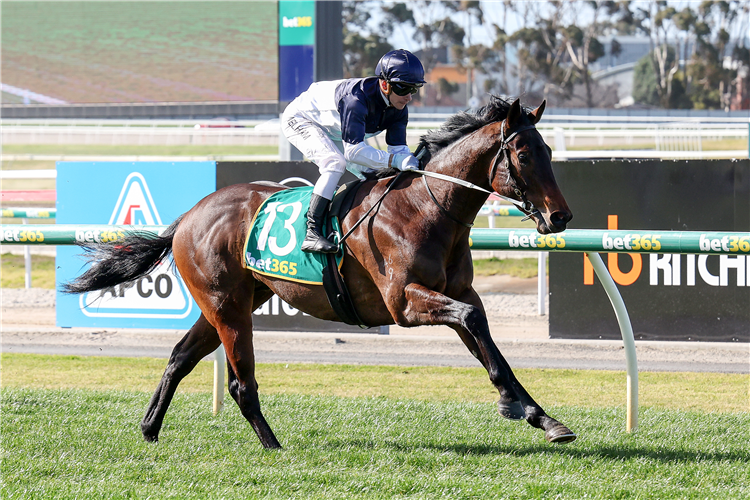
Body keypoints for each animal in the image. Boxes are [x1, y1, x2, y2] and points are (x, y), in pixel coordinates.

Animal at [67, 95, 580, 448]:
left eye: (550, 152)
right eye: (525, 155)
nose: (560, 217)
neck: (425, 208)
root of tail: (190, 215)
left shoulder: (456, 294)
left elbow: (486, 340)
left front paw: (540, 415)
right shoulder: (404, 303)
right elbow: (474, 324)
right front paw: (514, 405)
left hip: (232, 302)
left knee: (179, 357)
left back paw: (150, 428)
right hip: (227, 307)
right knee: (240, 383)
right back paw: (273, 446)